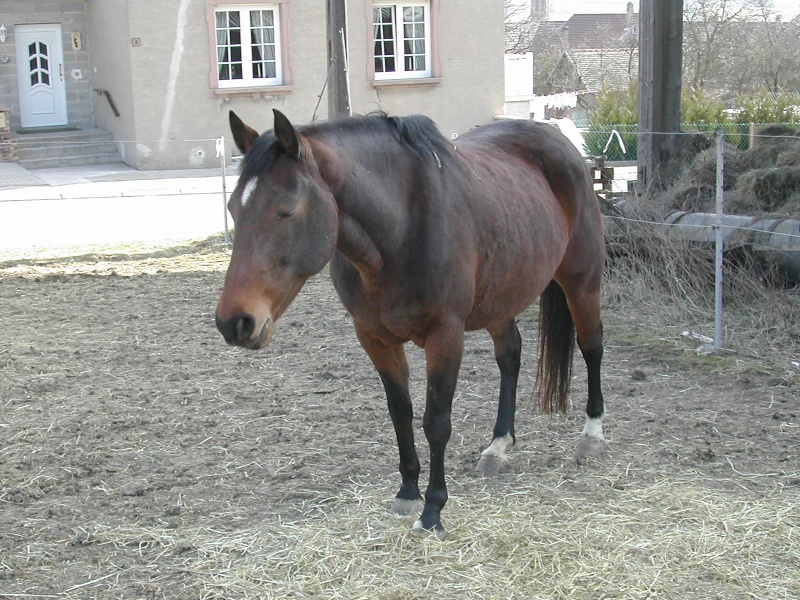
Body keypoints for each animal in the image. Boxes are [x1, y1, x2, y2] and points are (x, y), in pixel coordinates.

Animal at [216, 109, 604, 540]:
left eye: (285, 210)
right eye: (233, 209)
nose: (235, 322)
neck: (401, 228)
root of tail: (561, 142)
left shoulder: (445, 336)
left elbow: (435, 422)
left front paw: (433, 510)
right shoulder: (374, 337)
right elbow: (400, 412)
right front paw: (407, 492)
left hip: (582, 283)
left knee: (592, 346)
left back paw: (592, 436)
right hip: (501, 297)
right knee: (510, 356)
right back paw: (498, 446)